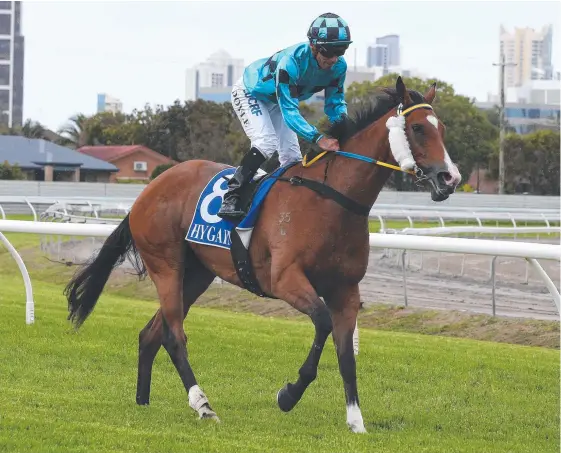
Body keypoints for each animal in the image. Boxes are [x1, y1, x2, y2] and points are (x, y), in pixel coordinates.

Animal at [64, 76, 460, 432]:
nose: (450, 178)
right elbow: (322, 323)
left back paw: (143, 402)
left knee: (151, 334)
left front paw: (356, 421)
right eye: (418, 128)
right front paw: (288, 395)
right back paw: (203, 405)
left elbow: (346, 355)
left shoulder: (346, 290)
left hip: (197, 274)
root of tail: (148, 190)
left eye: (441, 128)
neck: (331, 199)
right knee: (173, 335)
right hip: (167, 266)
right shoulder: (285, 280)